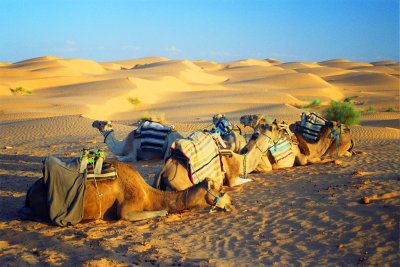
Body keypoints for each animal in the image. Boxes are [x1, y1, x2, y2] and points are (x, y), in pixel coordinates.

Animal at [20, 160, 234, 225]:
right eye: (219, 190)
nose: (232, 204)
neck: (149, 195)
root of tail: (29, 191)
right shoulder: (126, 210)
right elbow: (161, 211)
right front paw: (164, 212)